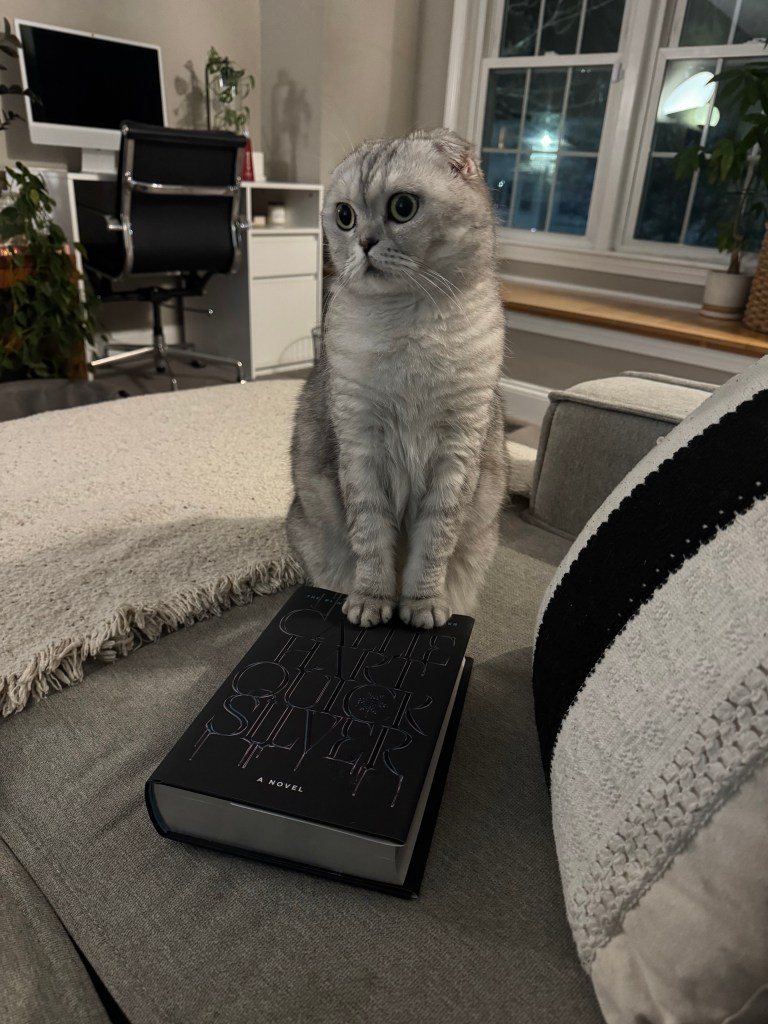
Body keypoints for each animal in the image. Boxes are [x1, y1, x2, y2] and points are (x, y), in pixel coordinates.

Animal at [287, 128, 507, 629]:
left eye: (402, 207)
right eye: (344, 216)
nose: (365, 242)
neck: (408, 326)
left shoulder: (456, 452)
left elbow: (433, 545)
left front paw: (422, 605)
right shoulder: (360, 445)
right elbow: (371, 538)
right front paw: (372, 601)